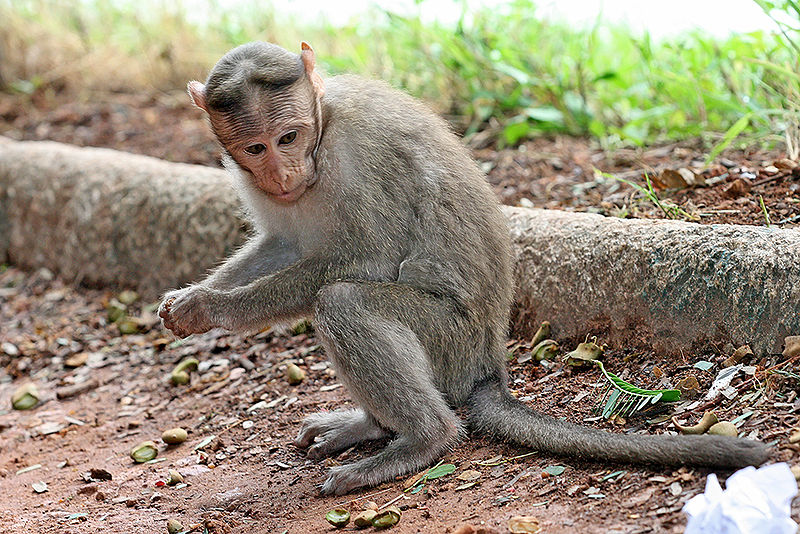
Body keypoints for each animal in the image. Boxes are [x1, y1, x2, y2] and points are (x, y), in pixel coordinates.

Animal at [158, 41, 769, 495]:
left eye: (288, 137)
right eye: (255, 148)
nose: (283, 174)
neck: (323, 123)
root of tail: (488, 365)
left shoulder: (357, 152)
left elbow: (369, 257)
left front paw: (214, 307)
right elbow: (283, 243)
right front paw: (190, 298)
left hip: (449, 340)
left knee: (344, 301)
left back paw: (422, 439)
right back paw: (371, 426)